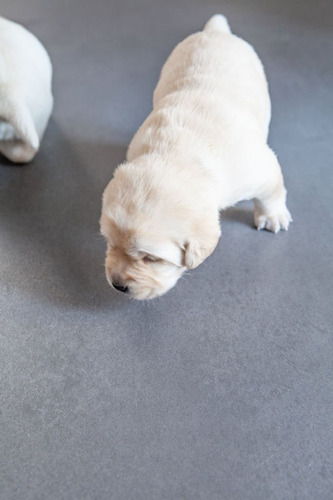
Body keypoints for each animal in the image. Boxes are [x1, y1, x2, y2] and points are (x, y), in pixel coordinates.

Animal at [101, 13, 290, 298]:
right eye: (109, 242)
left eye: (151, 258)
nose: (118, 286)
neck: (174, 155)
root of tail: (216, 31)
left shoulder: (259, 169)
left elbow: (272, 191)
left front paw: (273, 216)